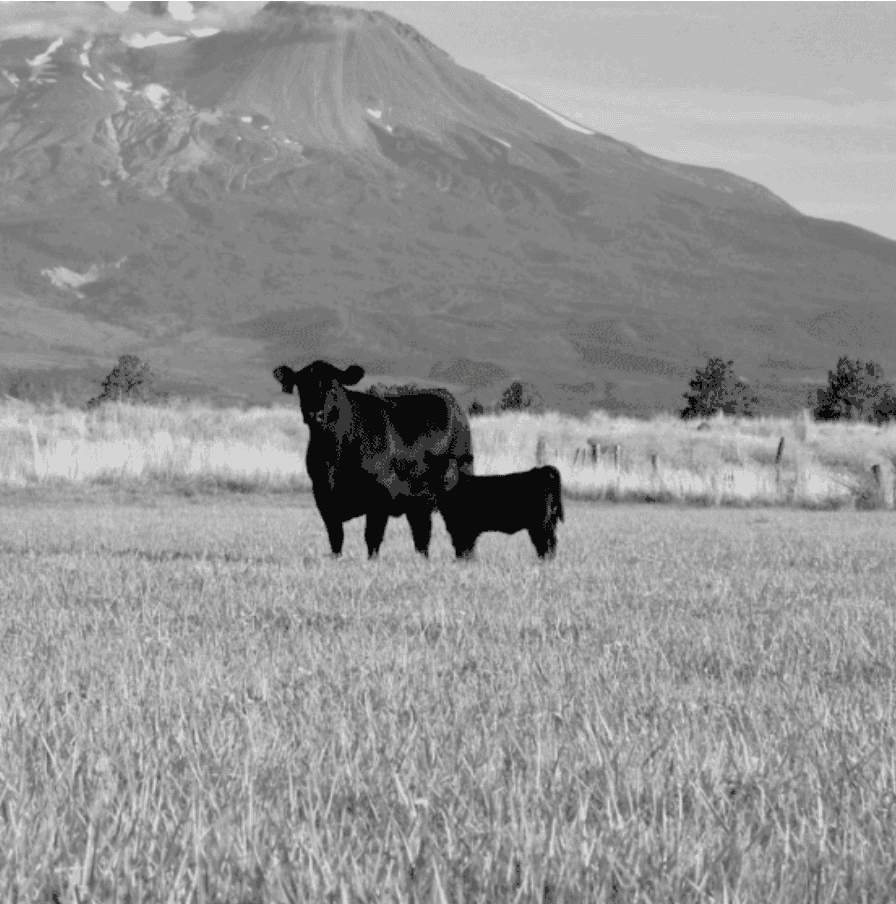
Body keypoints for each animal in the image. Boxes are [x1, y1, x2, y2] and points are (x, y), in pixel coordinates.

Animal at [273, 361, 474, 558]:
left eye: (333, 386)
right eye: (302, 386)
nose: (316, 414)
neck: (333, 456)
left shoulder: (380, 496)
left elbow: (372, 538)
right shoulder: (323, 496)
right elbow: (336, 539)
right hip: (418, 500)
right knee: (422, 533)